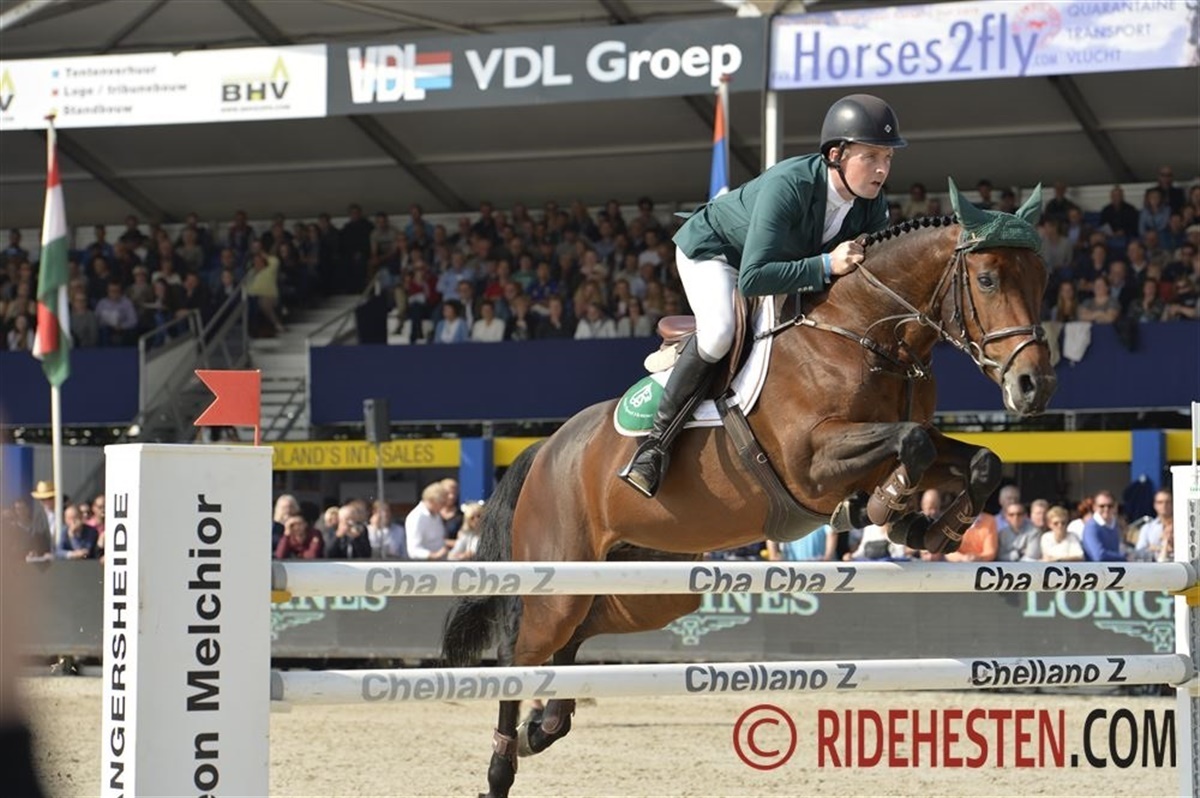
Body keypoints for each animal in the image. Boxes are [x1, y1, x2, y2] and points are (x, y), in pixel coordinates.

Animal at [442, 180, 1057, 798]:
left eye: (1042, 278)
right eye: (987, 280)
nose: (1034, 387)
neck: (867, 334)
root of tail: (545, 449)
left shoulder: (907, 441)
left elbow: (975, 459)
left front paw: (931, 529)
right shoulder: (811, 462)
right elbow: (910, 445)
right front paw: (884, 508)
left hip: (647, 584)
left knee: (576, 637)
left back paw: (541, 728)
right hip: (560, 577)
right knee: (521, 653)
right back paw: (502, 766)